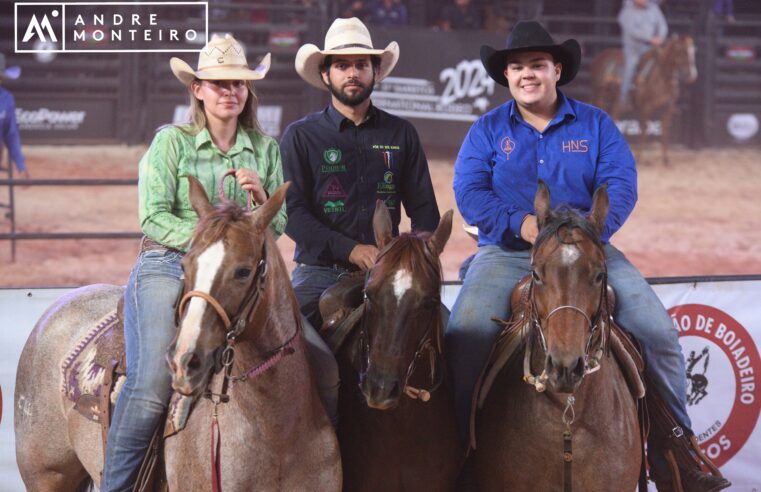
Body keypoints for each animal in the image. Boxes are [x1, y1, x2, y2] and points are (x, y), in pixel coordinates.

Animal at [592, 35, 696, 165]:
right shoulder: (645, 108)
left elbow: (665, 131)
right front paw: (640, 157)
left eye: (693, 51)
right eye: (682, 51)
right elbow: (644, 130)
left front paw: (666, 160)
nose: (692, 75)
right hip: (599, 96)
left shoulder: (668, 109)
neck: (661, 77)